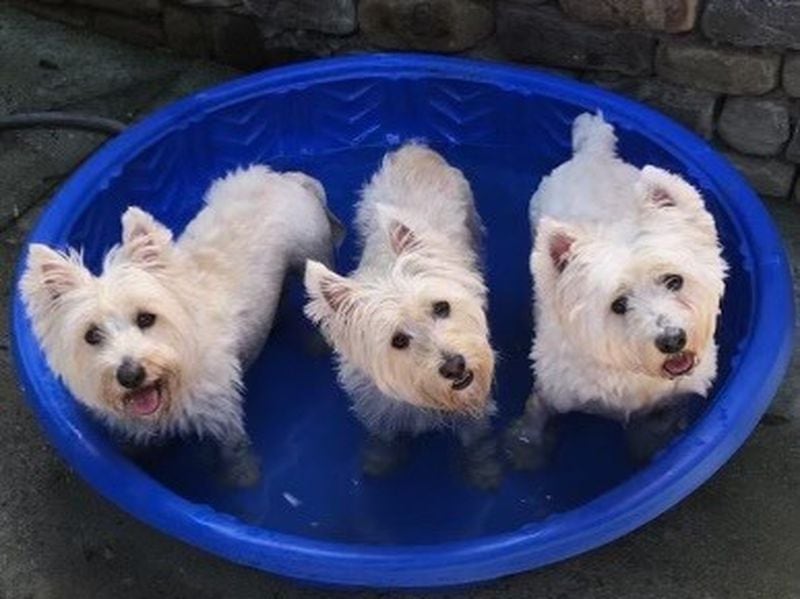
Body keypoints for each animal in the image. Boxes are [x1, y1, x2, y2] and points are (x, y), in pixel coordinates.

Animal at [20, 165, 342, 488]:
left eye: (146, 318)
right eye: (92, 335)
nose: (130, 375)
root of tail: (286, 179)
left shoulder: (220, 409)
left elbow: (232, 447)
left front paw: (242, 478)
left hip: (310, 256)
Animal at [304, 143, 496, 490]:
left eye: (441, 308)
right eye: (398, 340)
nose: (455, 366)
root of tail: (415, 150)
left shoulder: (475, 403)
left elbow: (477, 441)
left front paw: (484, 472)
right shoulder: (378, 409)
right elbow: (384, 438)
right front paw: (379, 463)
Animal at [510, 113, 728, 468]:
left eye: (674, 281)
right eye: (619, 304)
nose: (672, 340)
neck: (633, 368)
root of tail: (595, 154)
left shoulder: (675, 397)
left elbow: (658, 424)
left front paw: (648, 448)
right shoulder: (553, 389)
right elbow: (534, 416)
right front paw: (525, 449)